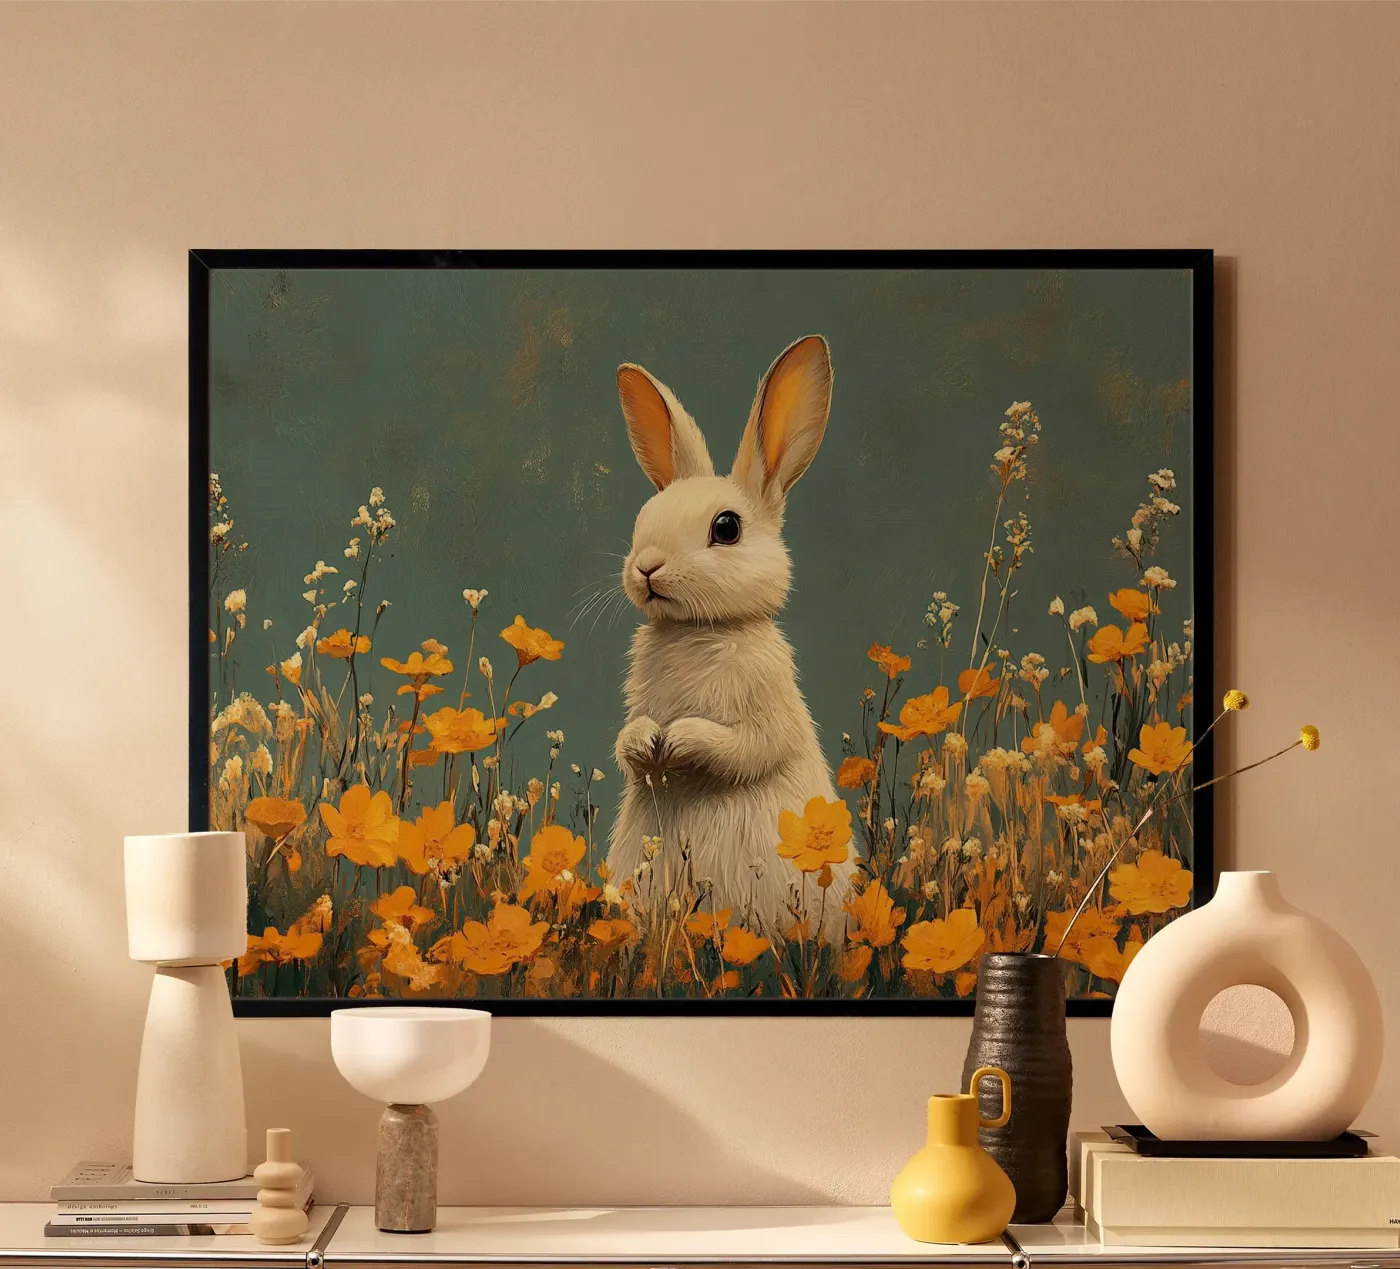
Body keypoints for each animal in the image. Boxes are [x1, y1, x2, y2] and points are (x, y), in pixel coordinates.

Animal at [606, 335, 856, 943]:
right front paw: (647, 742)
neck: (700, 630)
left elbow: (749, 747)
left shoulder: (769, 707)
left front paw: (678, 740)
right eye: (643, 518)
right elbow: (627, 743)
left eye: (727, 528)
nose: (646, 568)